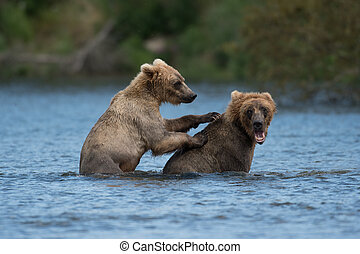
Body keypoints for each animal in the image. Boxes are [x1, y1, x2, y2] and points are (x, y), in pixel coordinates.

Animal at [79, 59, 219, 175]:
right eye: (176, 83)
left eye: (183, 79)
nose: (193, 95)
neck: (151, 96)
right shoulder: (141, 115)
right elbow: (160, 139)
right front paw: (200, 137)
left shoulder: (153, 114)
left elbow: (169, 123)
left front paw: (211, 115)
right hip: (106, 162)